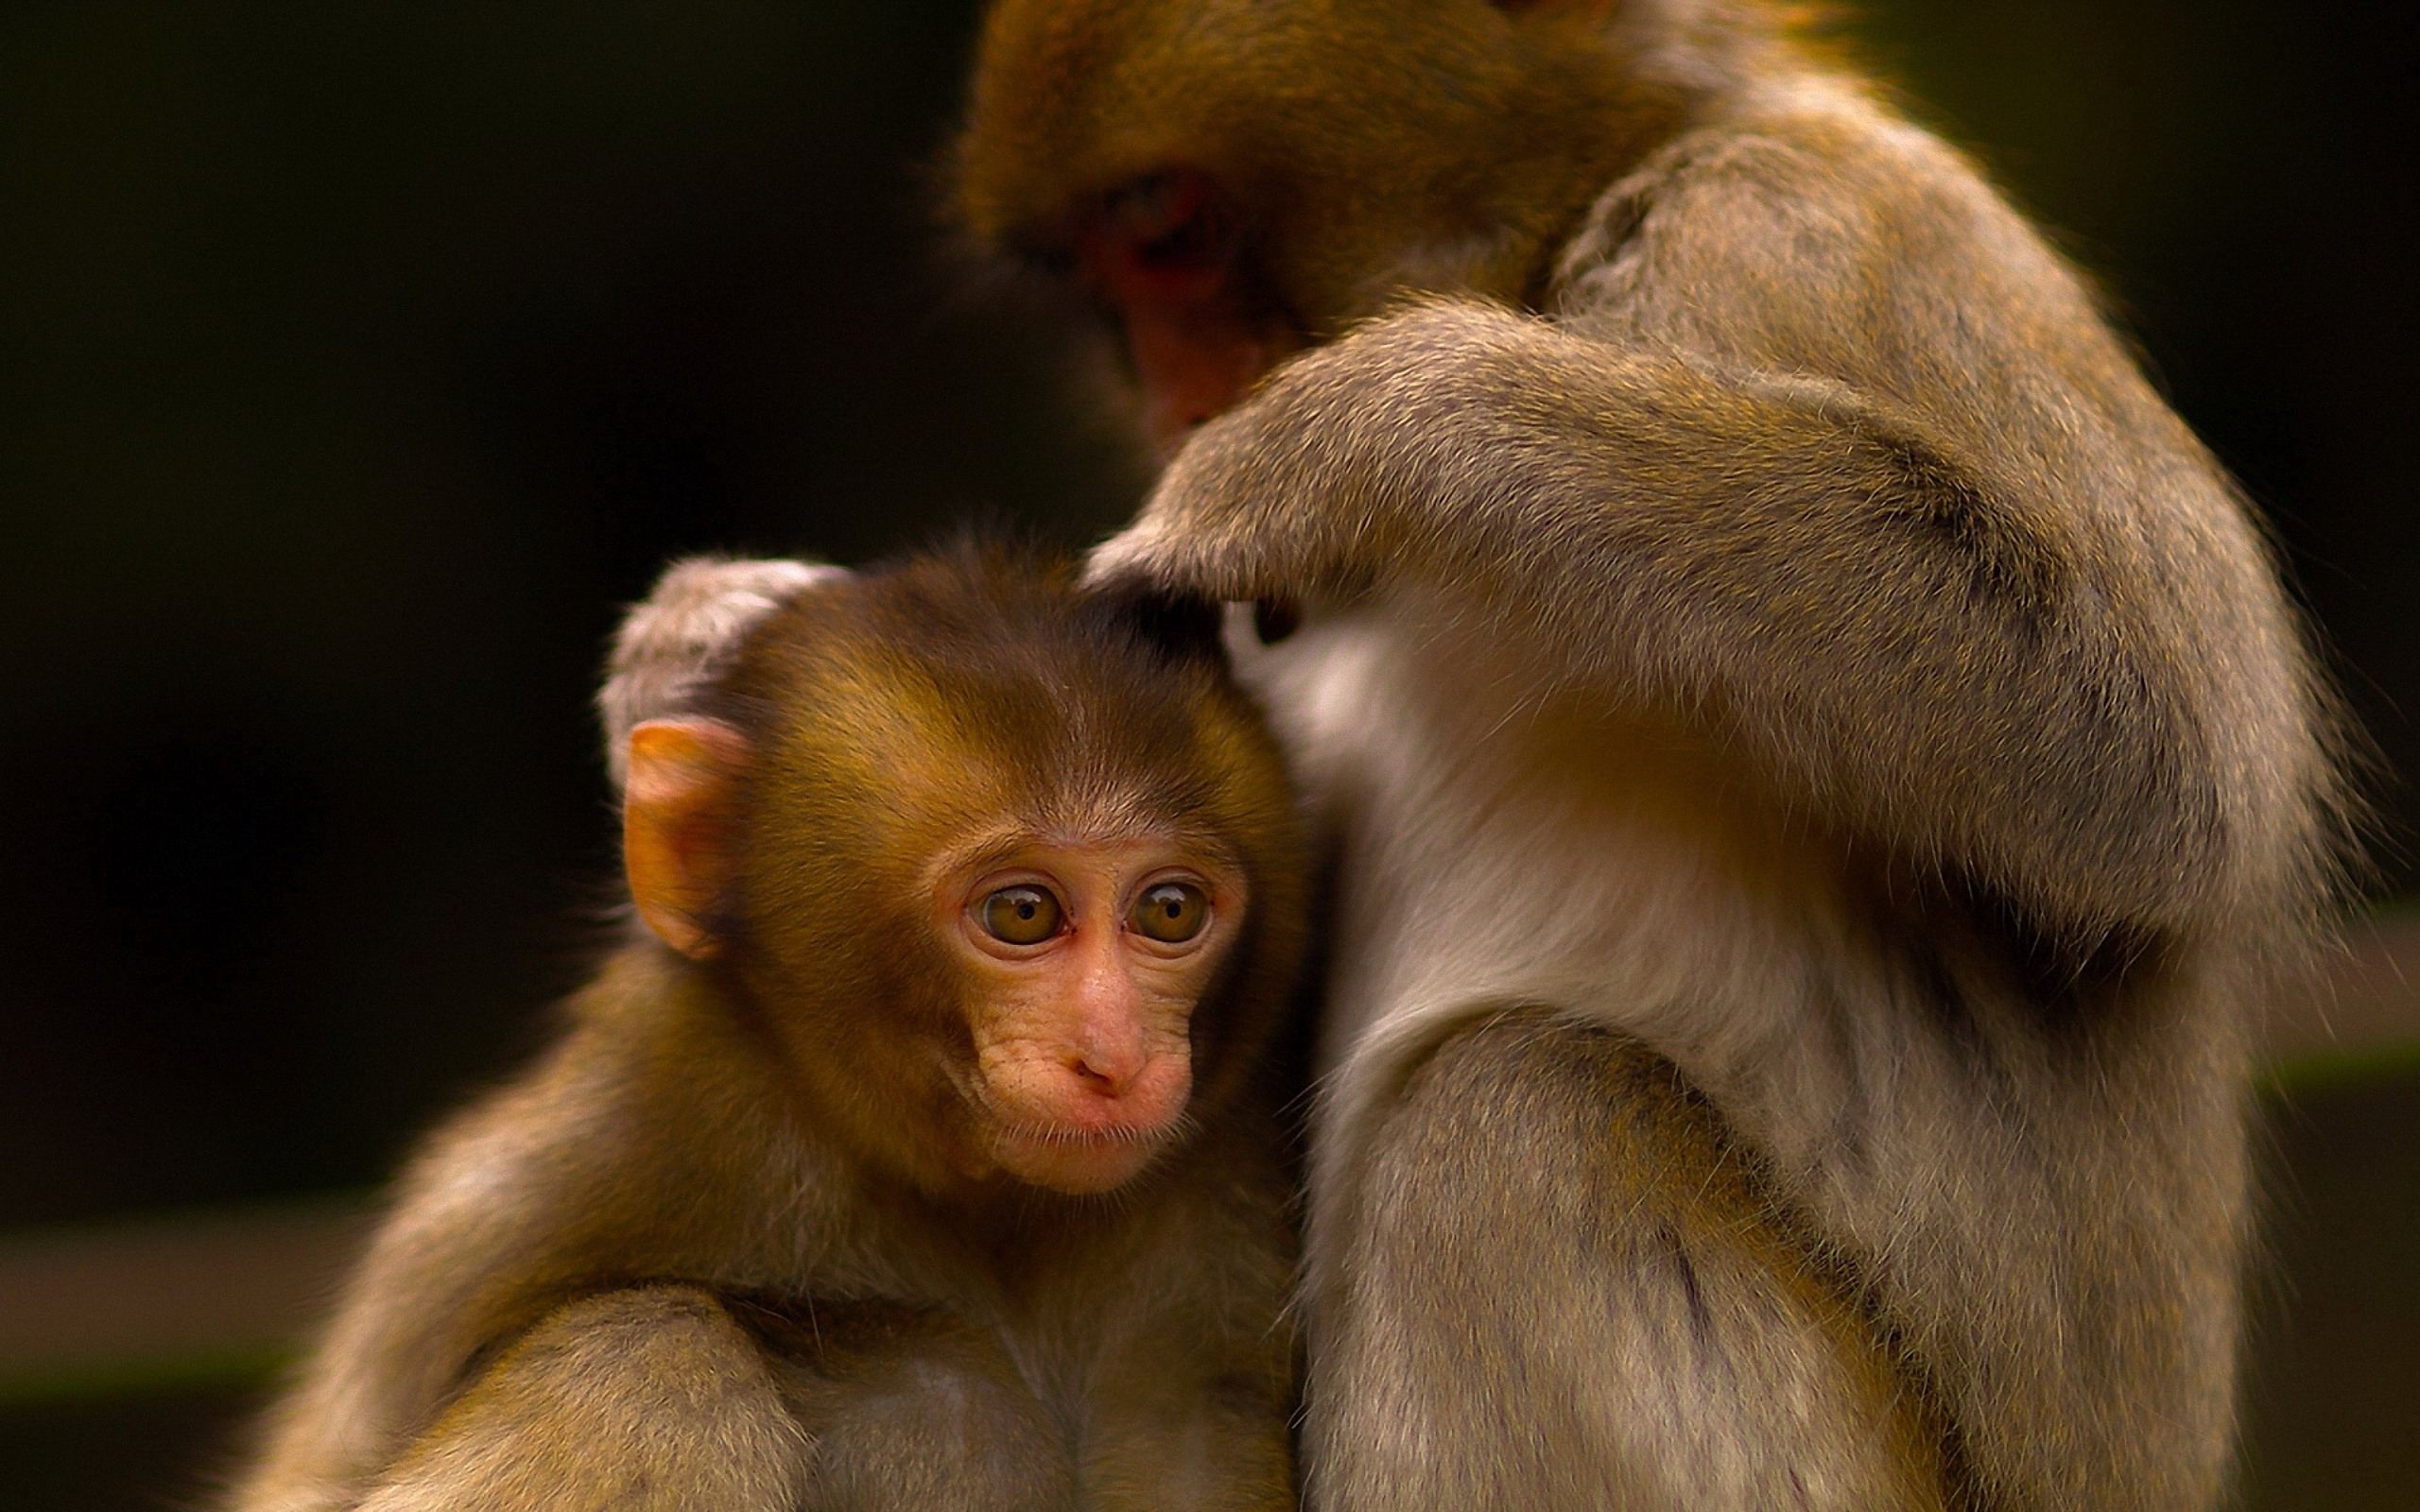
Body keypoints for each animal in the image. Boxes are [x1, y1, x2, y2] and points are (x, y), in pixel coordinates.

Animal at [231, 541, 1306, 1509]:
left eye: (1169, 910)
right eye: (1023, 913)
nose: (1114, 1057)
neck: (980, 1211)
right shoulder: (560, 1168)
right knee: (643, 1360)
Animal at [808, 0, 2323, 1500]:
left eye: (1168, 230)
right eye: (1100, 280)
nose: (1176, 398)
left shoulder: (1798, 235)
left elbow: (2155, 756)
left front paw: (1345, 437)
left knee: (1511, 1128)